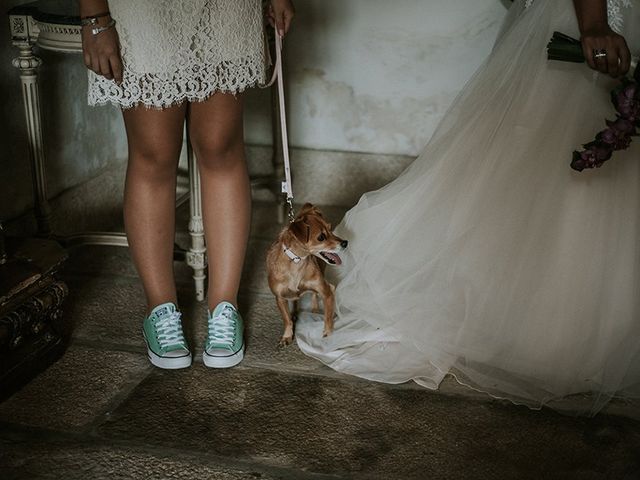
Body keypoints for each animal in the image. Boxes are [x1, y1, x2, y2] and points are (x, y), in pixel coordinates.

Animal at [264, 204, 348, 346]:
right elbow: (287, 320)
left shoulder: (326, 292)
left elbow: (328, 316)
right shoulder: (279, 298)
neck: (297, 261)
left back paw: (314, 310)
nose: (345, 243)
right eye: (321, 237)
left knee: (314, 294)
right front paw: (287, 336)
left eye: (330, 228)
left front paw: (328, 333)